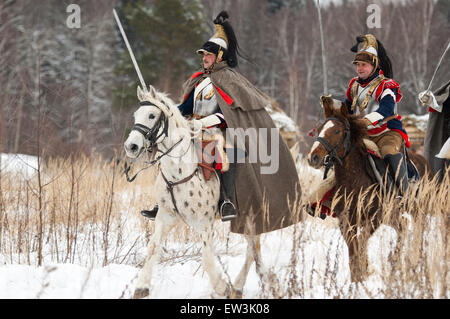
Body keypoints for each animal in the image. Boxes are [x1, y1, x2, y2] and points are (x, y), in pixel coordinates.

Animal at [306, 97, 428, 282]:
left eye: (337, 131)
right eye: (319, 129)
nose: (313, 158)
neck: (354, 179)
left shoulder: (375, 218)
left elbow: (361, 242)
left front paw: (364, 273)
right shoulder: (346, 221)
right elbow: (353, 248)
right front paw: (358, 277)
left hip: (411, 210)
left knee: (412, 231)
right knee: (402, 228)